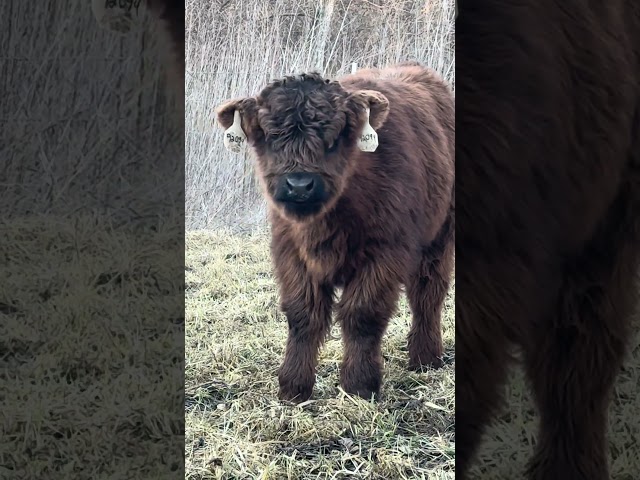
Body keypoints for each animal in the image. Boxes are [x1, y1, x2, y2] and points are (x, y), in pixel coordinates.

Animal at [216, 62, 456, 402]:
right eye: (268, 135)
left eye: (334, 137)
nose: (299, 185)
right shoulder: (289, 251)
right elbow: (303, 314)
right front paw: (293, 386)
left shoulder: (385, 253)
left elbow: (362, 314)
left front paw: (360, 384)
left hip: (439, 237)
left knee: (427, 293)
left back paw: (425, 358)